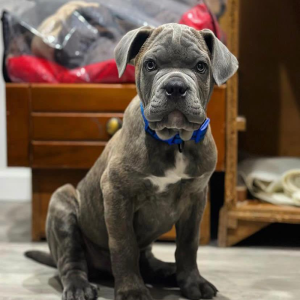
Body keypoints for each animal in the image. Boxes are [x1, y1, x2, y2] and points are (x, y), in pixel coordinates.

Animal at [25, 23, 238, 300]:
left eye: (201, 66)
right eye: (150, 64)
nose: (176, 86)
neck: (174, 140)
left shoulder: (196, 198)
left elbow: (188, 245)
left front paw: (193, 282)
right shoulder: (117, 193)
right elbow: (124, 245)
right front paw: (132, 290)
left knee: (146, 259)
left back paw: (167, 271)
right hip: (62, 203)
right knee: (71, 260)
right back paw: (79, 286)